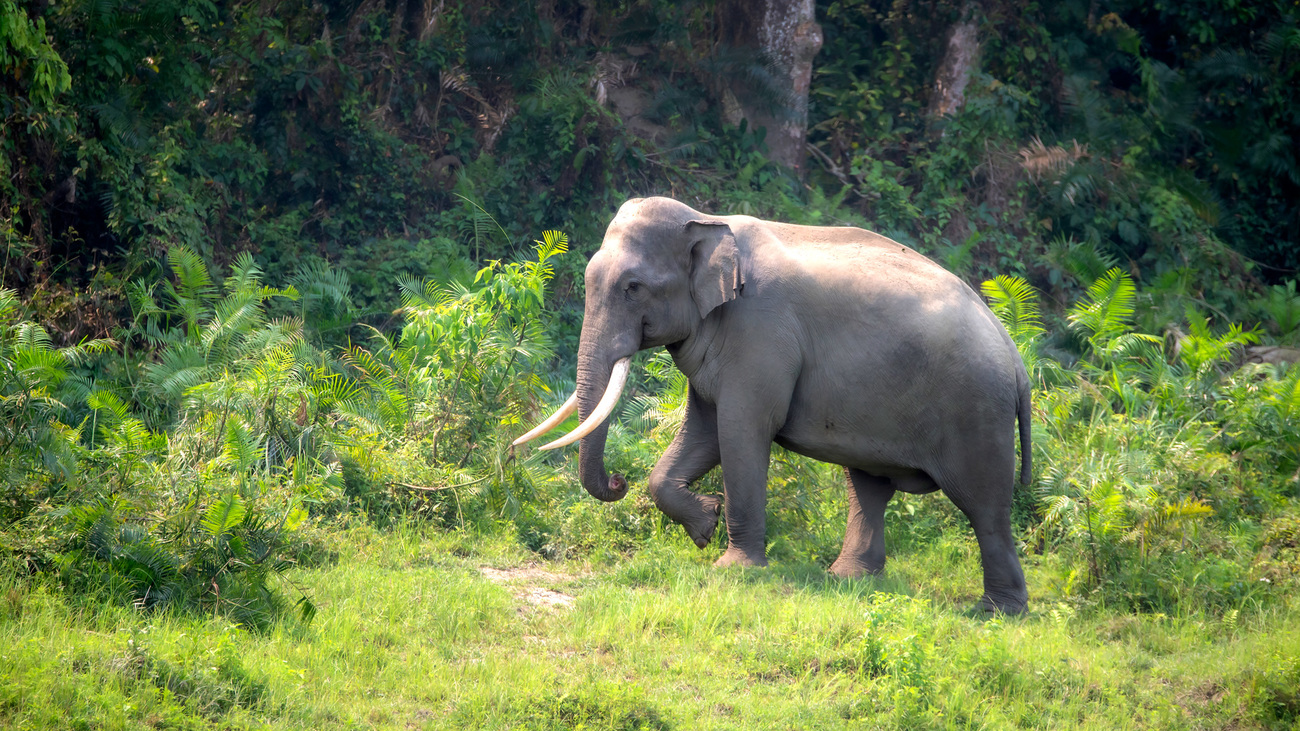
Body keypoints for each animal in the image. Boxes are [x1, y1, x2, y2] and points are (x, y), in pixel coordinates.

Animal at [512, 196, 1029, 611]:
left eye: (633, 287)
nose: (619, 481)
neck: (708, 220)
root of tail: (1013, 351)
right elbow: (703, 431)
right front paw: (705, 524)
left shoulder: (759, 332)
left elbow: (741, 430)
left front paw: (733, 568)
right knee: (869, 487)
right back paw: (847, 580)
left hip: (976, 409)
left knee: (984, 506)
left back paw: (995, 612)